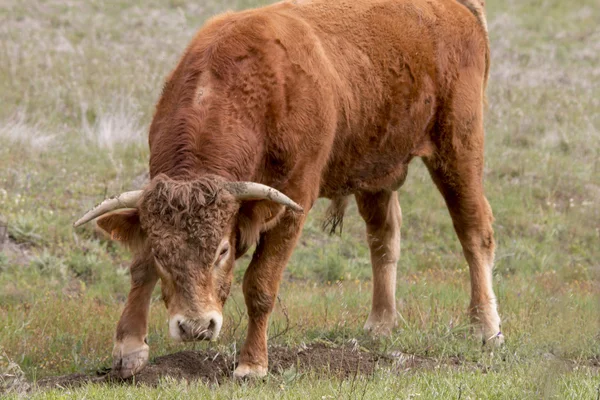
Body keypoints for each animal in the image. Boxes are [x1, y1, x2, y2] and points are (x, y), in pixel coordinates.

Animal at [74, 0, 502, 380]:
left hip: (459, 150)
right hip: (377, 170)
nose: (196, 327)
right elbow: (140, 268)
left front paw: (252, 365)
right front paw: (129, 350)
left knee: (474, 231)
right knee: (384, 239)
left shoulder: (292, 202)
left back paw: (486, 328)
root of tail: (458, 8)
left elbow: (260, 284)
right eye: (165, 253)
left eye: (223, 250)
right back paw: (380, 325)